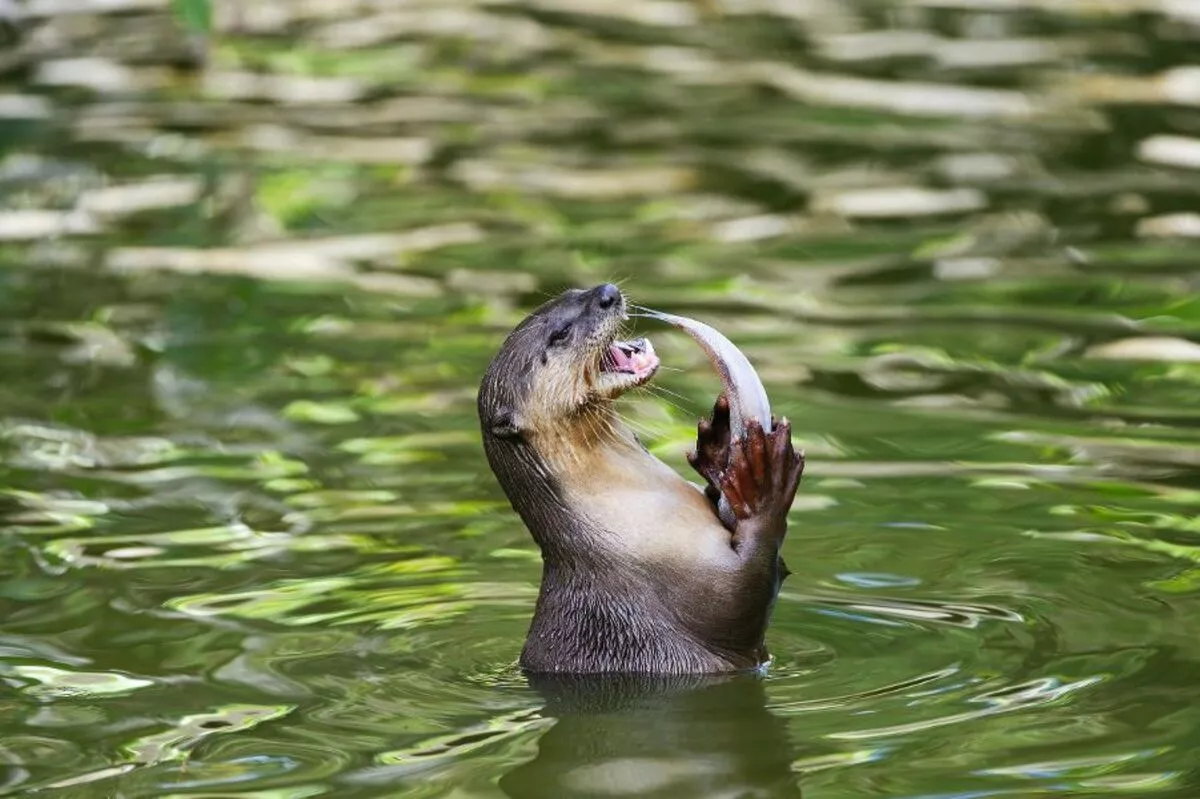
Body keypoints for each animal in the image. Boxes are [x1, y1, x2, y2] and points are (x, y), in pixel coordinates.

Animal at [477, 283, 806, 667]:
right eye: (560, 334)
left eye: (574, 290)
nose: (607, 292)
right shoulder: (700, 587)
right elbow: (745, 594)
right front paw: (763, 480)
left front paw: (720, 446)